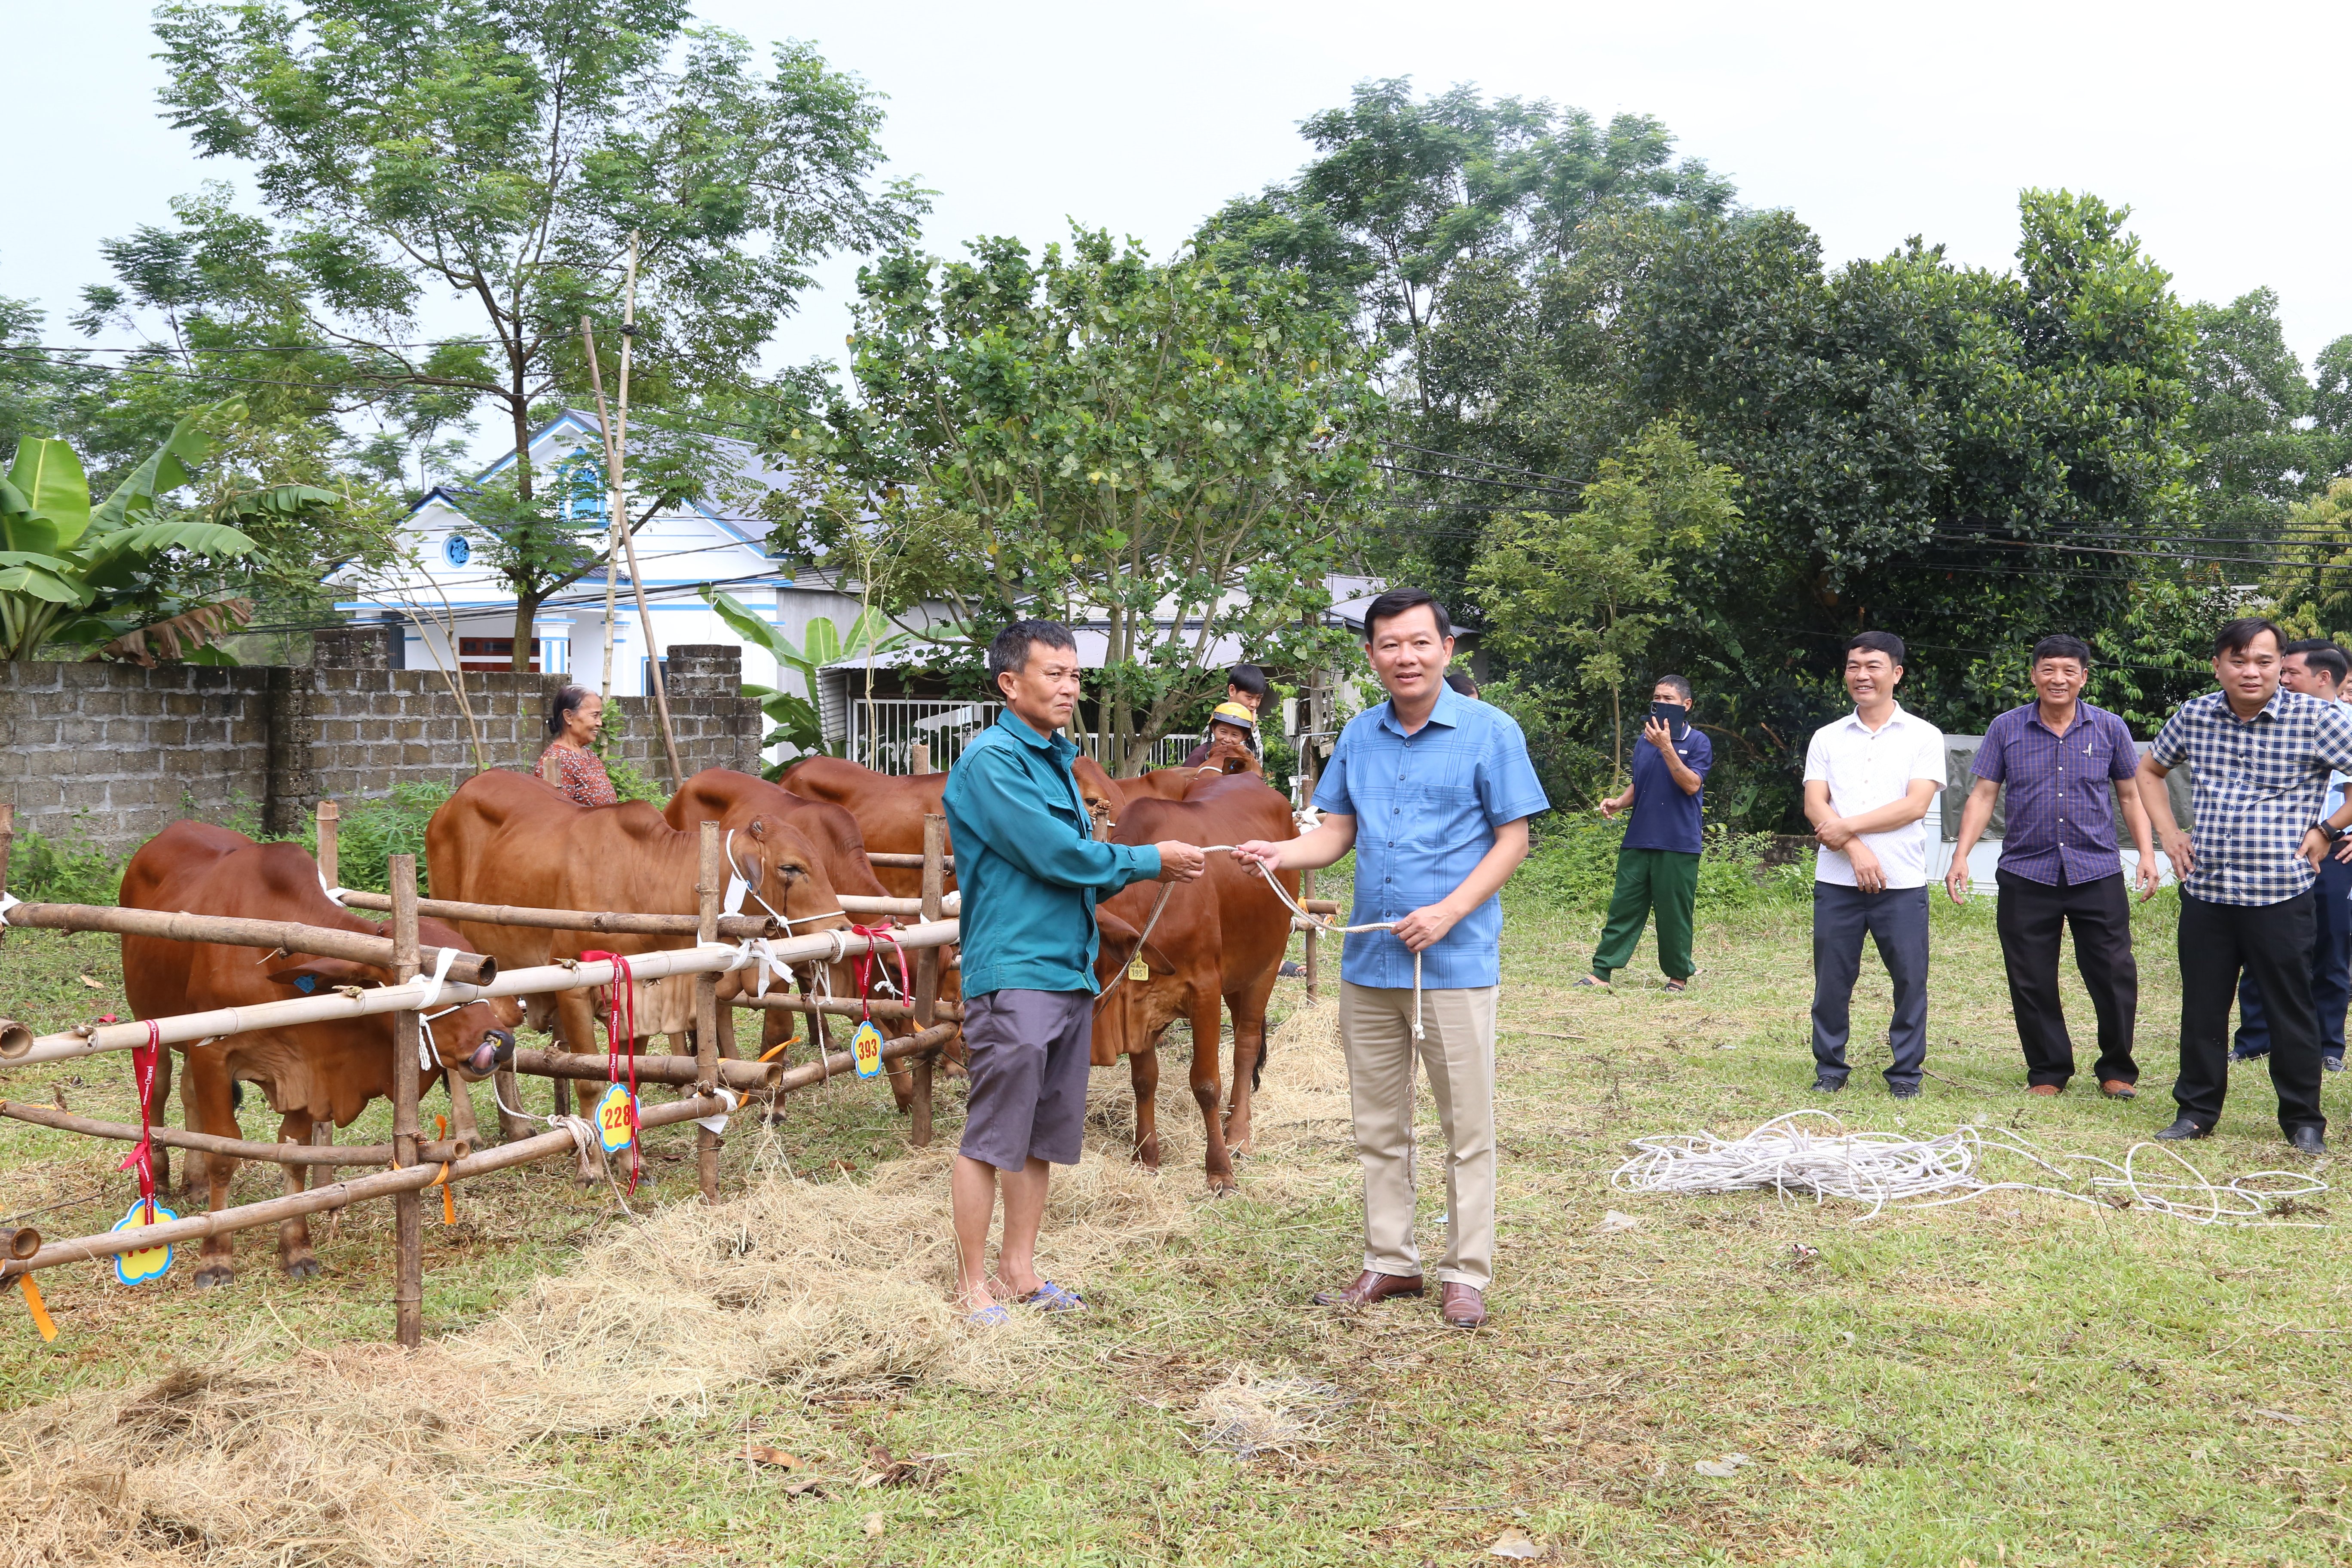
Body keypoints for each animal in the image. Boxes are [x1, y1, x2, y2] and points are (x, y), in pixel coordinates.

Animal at [120, 823, 524, 1288]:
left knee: (188, 1097)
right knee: (159, 1093)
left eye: (480, 972)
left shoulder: (302, 1073)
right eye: (425, 980)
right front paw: (216, 1256)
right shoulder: (215, 1054)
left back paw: (196, 1182)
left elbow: (294, 1156)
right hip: (151, 1020)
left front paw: (297, 1247)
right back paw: (163, 1179)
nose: (501, 1040)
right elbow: (224, 1153)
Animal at [428, 771, 861, 1175]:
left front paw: (630, 1162)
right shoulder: (573, 989)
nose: (842, 928)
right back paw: (469, 1133)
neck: (642, 876)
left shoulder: (639, 996)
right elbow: (589, 1080)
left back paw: (516, 1127)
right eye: (791, 867)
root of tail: (449, 804)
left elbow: (625, 1079)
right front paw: (593, 1168)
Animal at [1087, 780, 1298, 1194]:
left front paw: (1219, 1170)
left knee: (1246, 1046)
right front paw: (1145, 1158)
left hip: (1266, 965)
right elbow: (1143, 1081)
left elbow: (1205, 1083)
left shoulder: (1205, 990)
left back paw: (1239, 1135)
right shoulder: (1143, 1004)